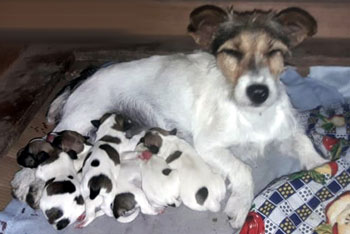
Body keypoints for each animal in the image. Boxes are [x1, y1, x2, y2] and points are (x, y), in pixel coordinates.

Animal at [45, 5, 326, 229]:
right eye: (232, 53)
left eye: (274, 52)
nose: (259, 92)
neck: (252, 115)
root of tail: (84, 76)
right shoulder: (209, 145)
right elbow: (243, 169)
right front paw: (240, 204)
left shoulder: (282, 134)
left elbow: (303, 141)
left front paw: (320, 166)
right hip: (77, 122)